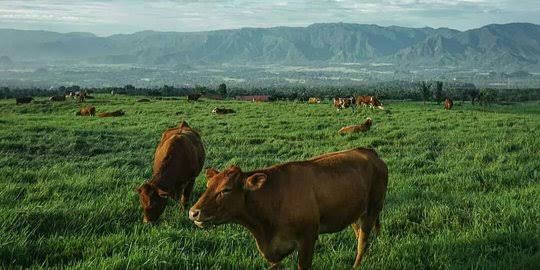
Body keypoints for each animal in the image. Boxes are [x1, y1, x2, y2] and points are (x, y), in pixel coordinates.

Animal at [190, 149, 388, 268]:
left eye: (226, 189)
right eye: (208, 185)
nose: (193, 212)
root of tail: (369, 151)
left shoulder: (308, 238)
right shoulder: (272, 250)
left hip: (373, 208)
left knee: (363, 241)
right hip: (354, 213)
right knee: (360, 236)